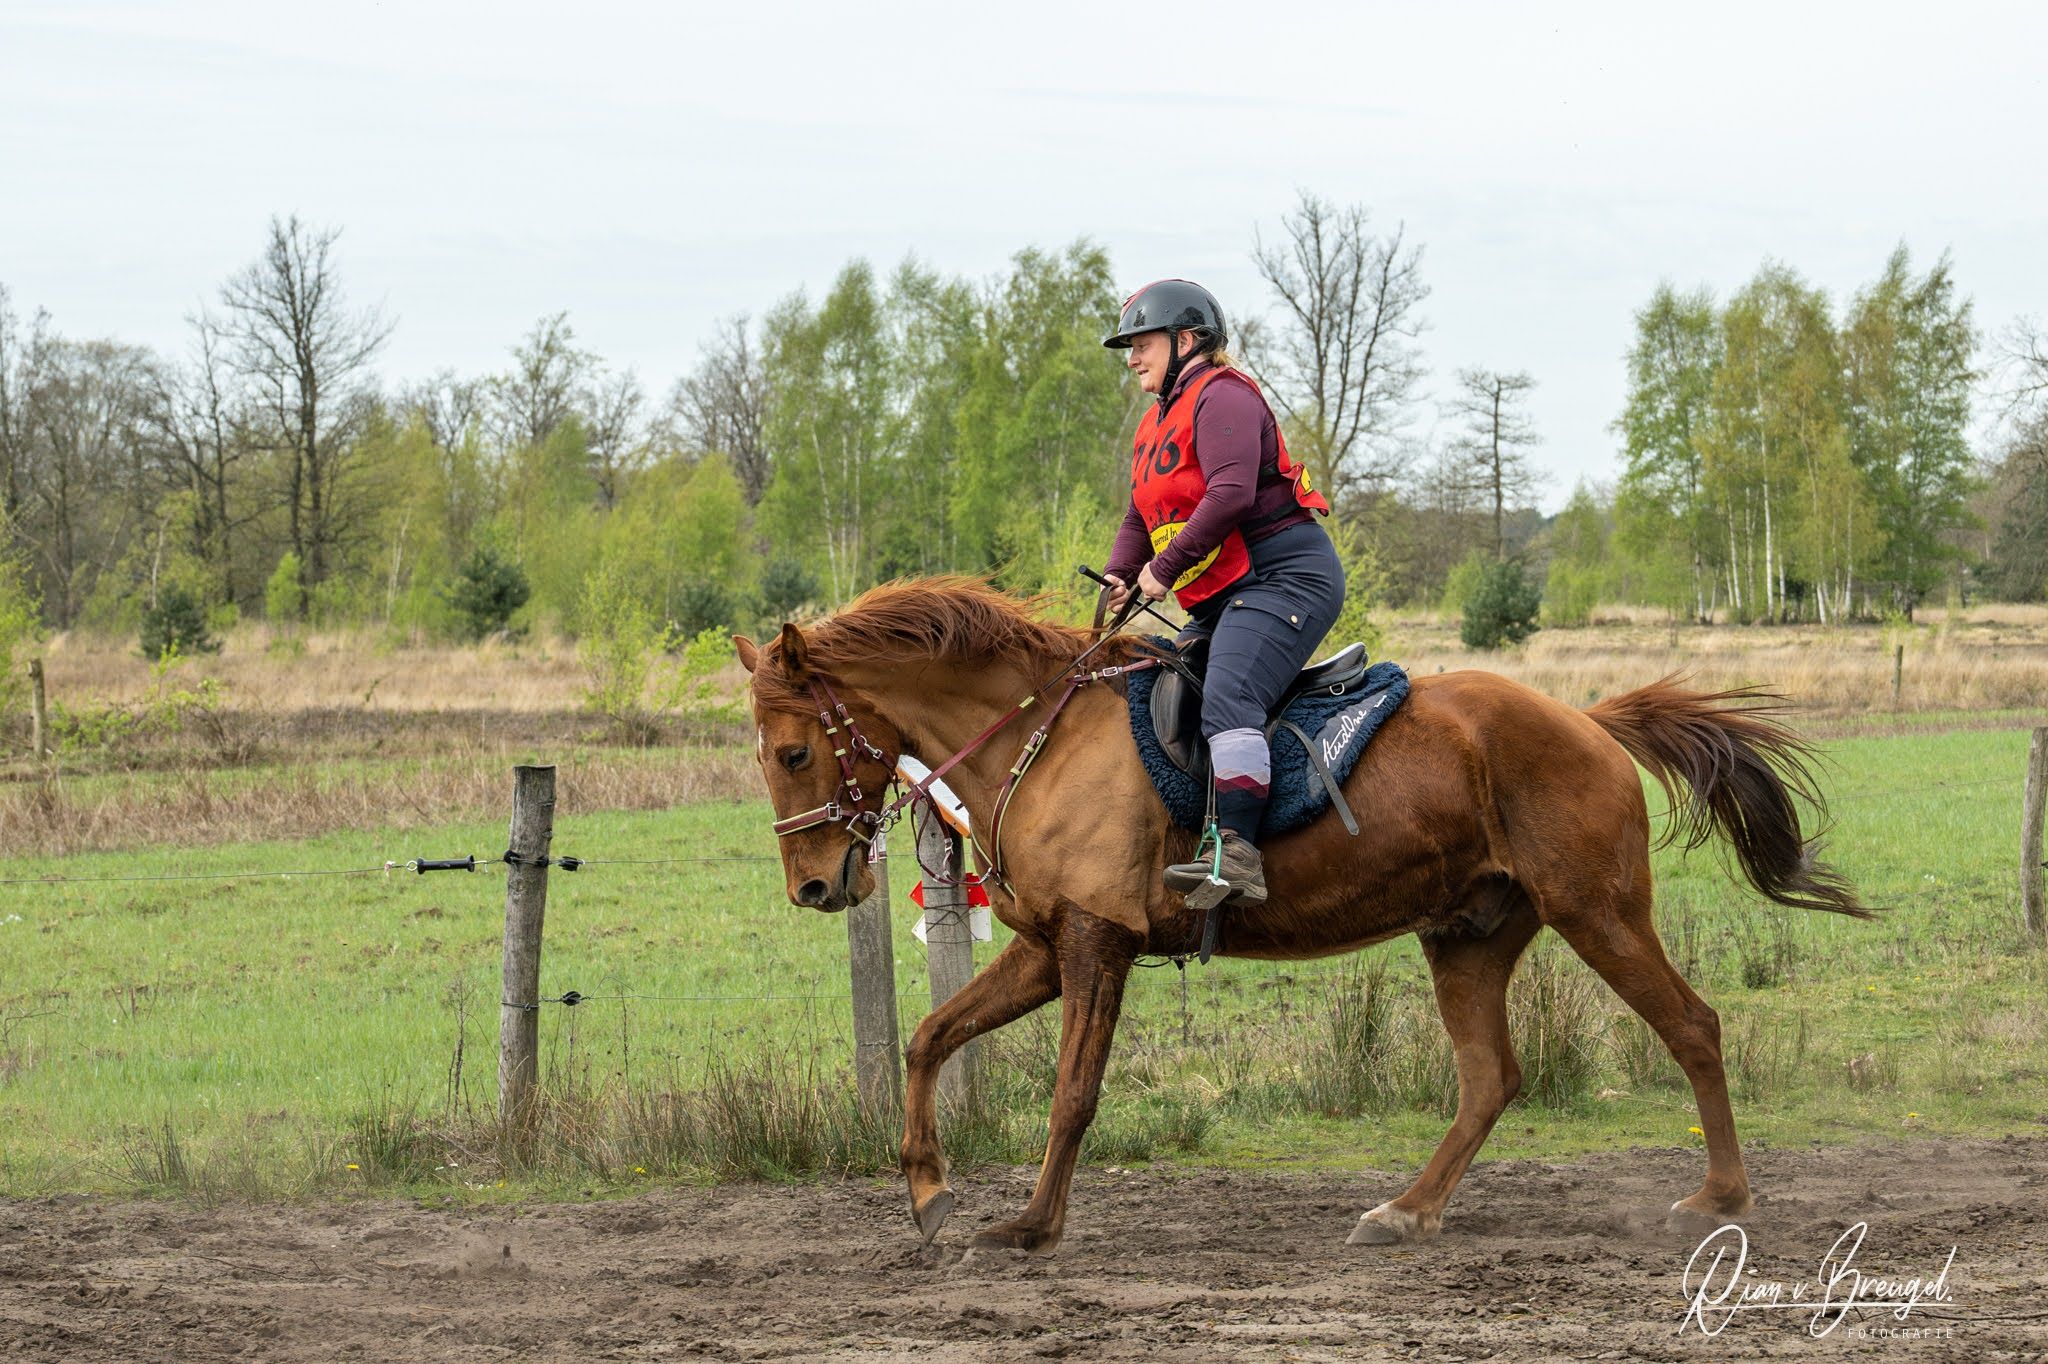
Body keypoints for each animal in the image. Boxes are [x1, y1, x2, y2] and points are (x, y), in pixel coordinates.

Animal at [733, 576, 1871, 1254]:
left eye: (791, 751)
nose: (814, 887)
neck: (1037, 737)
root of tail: (1586, 720)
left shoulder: (1097, 944)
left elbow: (1071, 1097)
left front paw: (1030, 1224)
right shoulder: (1050, 948)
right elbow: (930, 1037)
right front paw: (928, 1191)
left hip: (1600, 913)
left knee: (1691, 1027)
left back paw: (1719, 1197)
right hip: (1467, 934)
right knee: (1490, 1078)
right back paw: (1408, 1210)